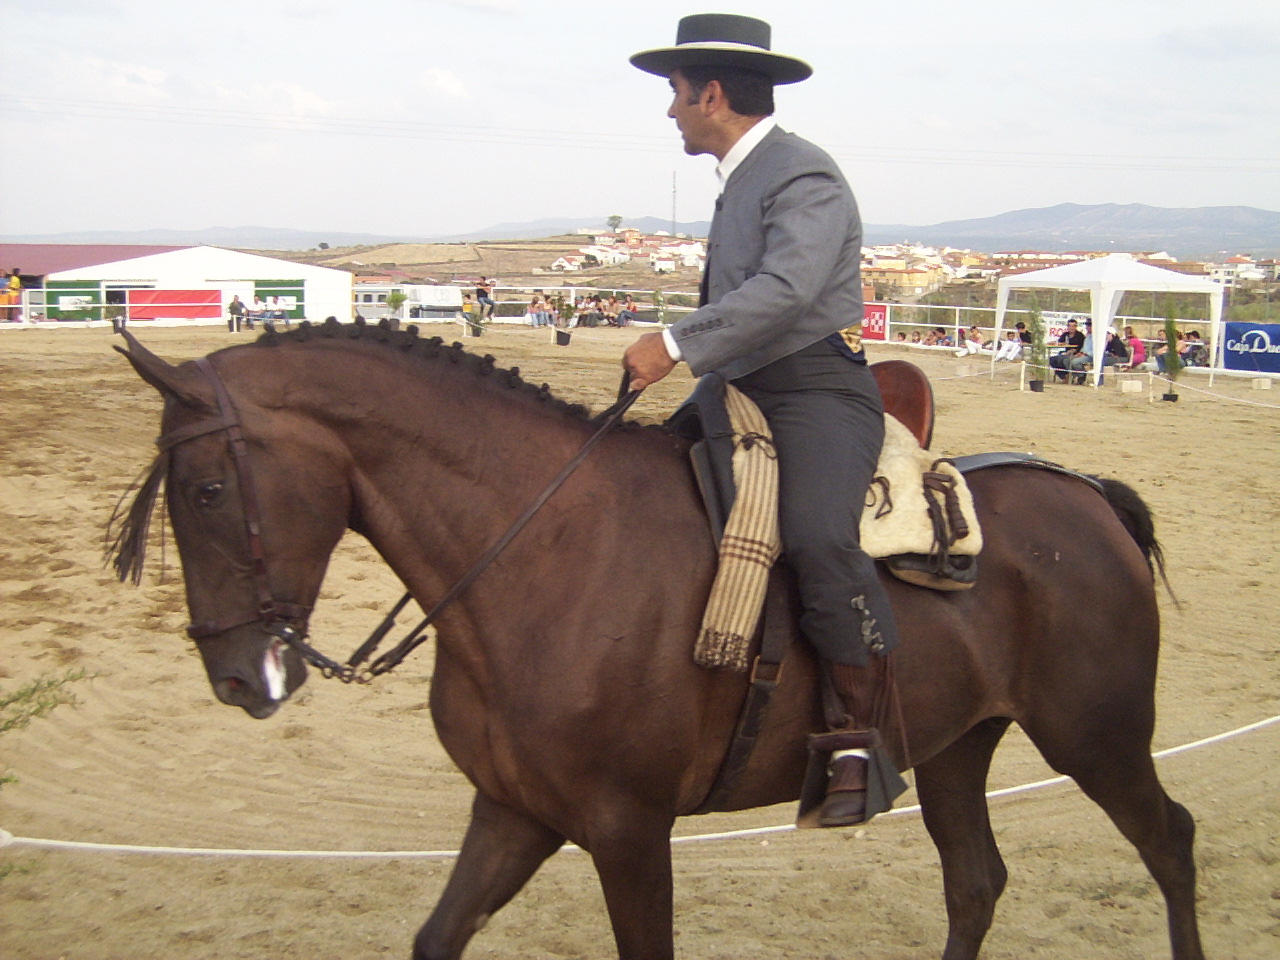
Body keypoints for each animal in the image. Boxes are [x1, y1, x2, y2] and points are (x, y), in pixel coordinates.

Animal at [110, 321, 1198, 960]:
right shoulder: (514, 811)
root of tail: (1086, 496)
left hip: (1095, 737)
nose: (237, 677)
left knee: (1170, 843)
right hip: (956, 748)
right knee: (975, 882)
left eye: (207, 489)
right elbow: (436, 937)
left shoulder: (627, 831)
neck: (544, 548)